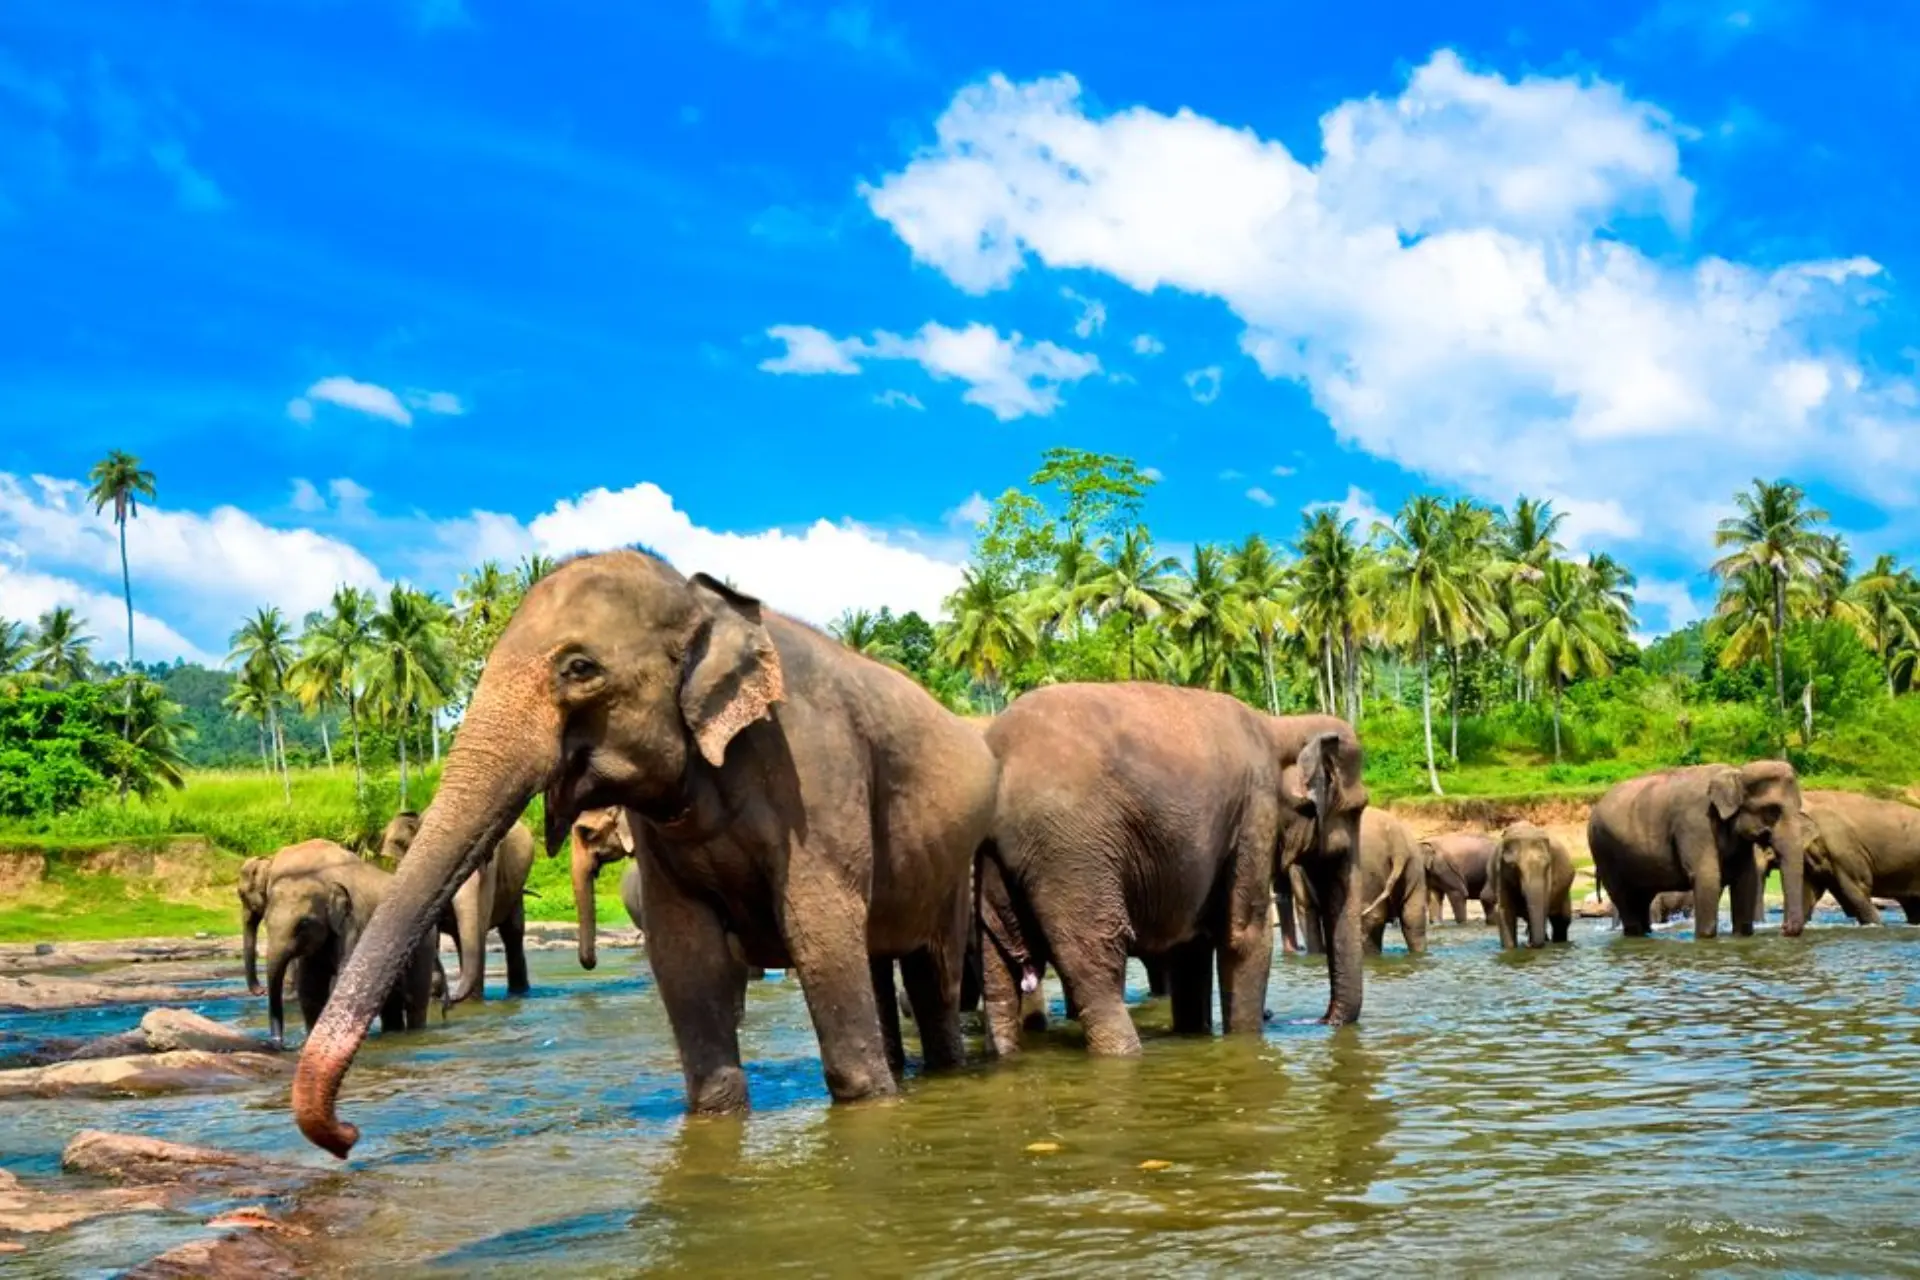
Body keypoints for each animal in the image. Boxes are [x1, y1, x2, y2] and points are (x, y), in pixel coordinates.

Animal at [261, 862, 436, 1047]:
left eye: (304, 923)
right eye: (265, 920)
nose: (277, 1043)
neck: (323, 879)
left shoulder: (354, 923)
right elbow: (310, 989)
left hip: (425, 944)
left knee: (414, 1003)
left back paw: (415, 1034)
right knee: (391, 1008)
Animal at [382, 810, 536, 1002]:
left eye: (484, 860)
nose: (451, 997)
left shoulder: (491, 871)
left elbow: (480, 927)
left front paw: (471, 1002)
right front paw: (433, 996)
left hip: (516, 894)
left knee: (512, 934)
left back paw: (518, 994)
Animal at [976, 687, 1366, 1058]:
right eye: (1357, 810)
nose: (1315, 1020)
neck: (1279, 725)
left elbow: (1190, 946)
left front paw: (1195, 1035)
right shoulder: (1255, 811)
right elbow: (1244, 937)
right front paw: (1244, 1044)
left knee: (998, 970)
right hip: (1071, 854)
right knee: (1097, 965)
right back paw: (1126, 1053)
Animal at [1489, 821, 1574, 950]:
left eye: (1547, 865)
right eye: (1514, 866)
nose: (1528, 945)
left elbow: (1543, 907)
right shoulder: (1500, 871)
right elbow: (1505, 911)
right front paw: (1511, 950)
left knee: (1562, 921)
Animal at [1588, 761, 1809, 939]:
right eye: (1773, 811)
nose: (1784, 929)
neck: (1736, 772)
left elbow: (1746, 879)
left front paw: (1742, 935)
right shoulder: (1695, 823)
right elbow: (1707, 877)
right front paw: (1705, 938)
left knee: (1642, 898)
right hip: (1603, 851)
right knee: (1624, 897)